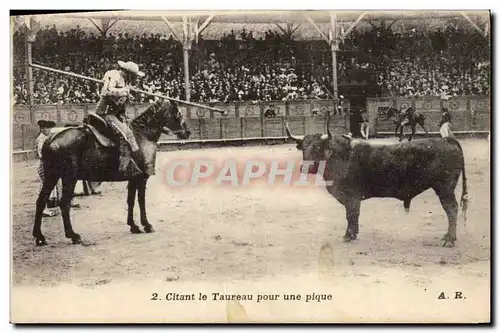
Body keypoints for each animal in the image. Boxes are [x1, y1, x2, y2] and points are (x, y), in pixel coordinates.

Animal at [31, 100, 191, 245]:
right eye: (178, 113)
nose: (187, 132)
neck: (142, 136)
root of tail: (51, 139)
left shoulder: (133, 179)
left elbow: (131, 200)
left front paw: (133, 226)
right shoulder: (142, 178)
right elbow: (141, 201)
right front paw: (147, 225)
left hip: (51, 177)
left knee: (41, 201)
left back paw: (39, 237)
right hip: (69, 178)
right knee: (64, 203)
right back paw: (73, 236)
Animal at [286, 123, 468, 245]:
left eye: (317, 148)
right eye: (303, 148)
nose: (305, 167)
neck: (338, 156)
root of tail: (447, 140)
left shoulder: (352, 197)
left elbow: (351, 215)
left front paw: (348, 235)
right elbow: (352, 216)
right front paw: (353, 234)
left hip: (445, 188)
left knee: (451, 209)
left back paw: (449, 239)